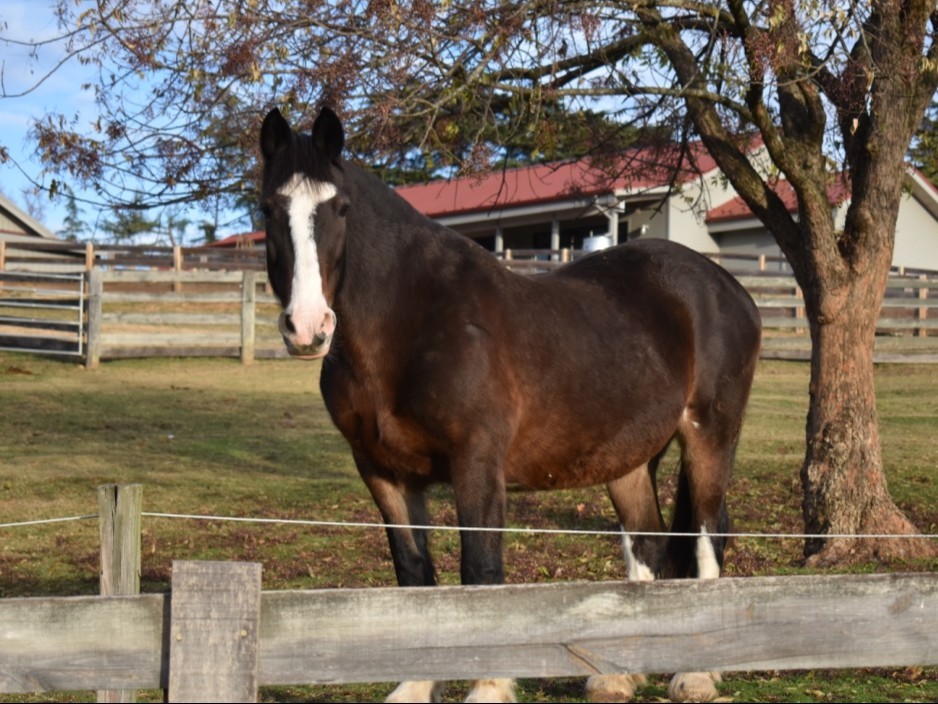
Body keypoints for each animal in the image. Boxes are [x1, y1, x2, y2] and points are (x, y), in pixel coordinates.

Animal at [259, 106, 762, 704]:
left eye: (339, 208)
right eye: (268, 209)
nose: (307, 327)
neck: (413, 324)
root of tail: (728, 286)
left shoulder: (476, 463)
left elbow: (481, 573)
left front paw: (489, 686)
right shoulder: (383, 472)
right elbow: (413, 573)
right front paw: (415, 686)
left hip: (709, 434)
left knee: (708, 532)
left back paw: (696, 673)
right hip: (630, 459)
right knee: (647, 541)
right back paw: (619, 675)